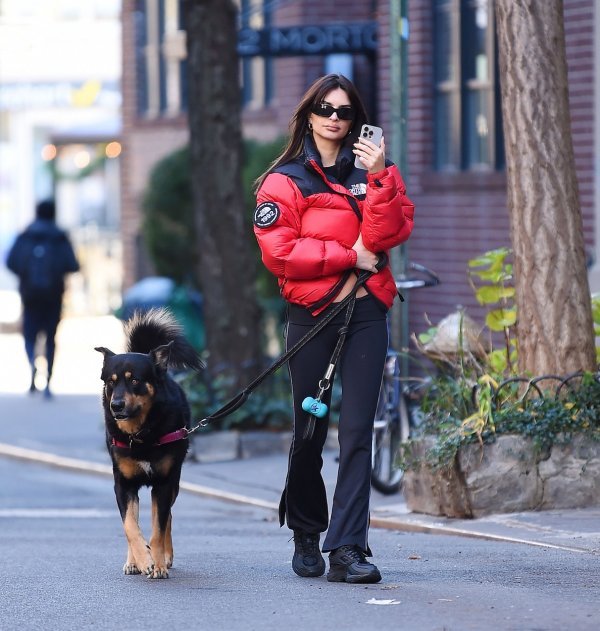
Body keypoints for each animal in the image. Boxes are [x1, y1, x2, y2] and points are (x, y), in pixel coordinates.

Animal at [96, 308, 203, 580]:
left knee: (167, 518)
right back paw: (133, 561)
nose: (116, 406)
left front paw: (158, 563)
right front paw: (143, 560)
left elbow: (157, 529)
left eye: (135, 381)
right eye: (111, 382)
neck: (141, 434)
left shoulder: (164, 483)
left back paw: (165, 556)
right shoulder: (123, 485)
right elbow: (130, 527)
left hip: (173, 481)